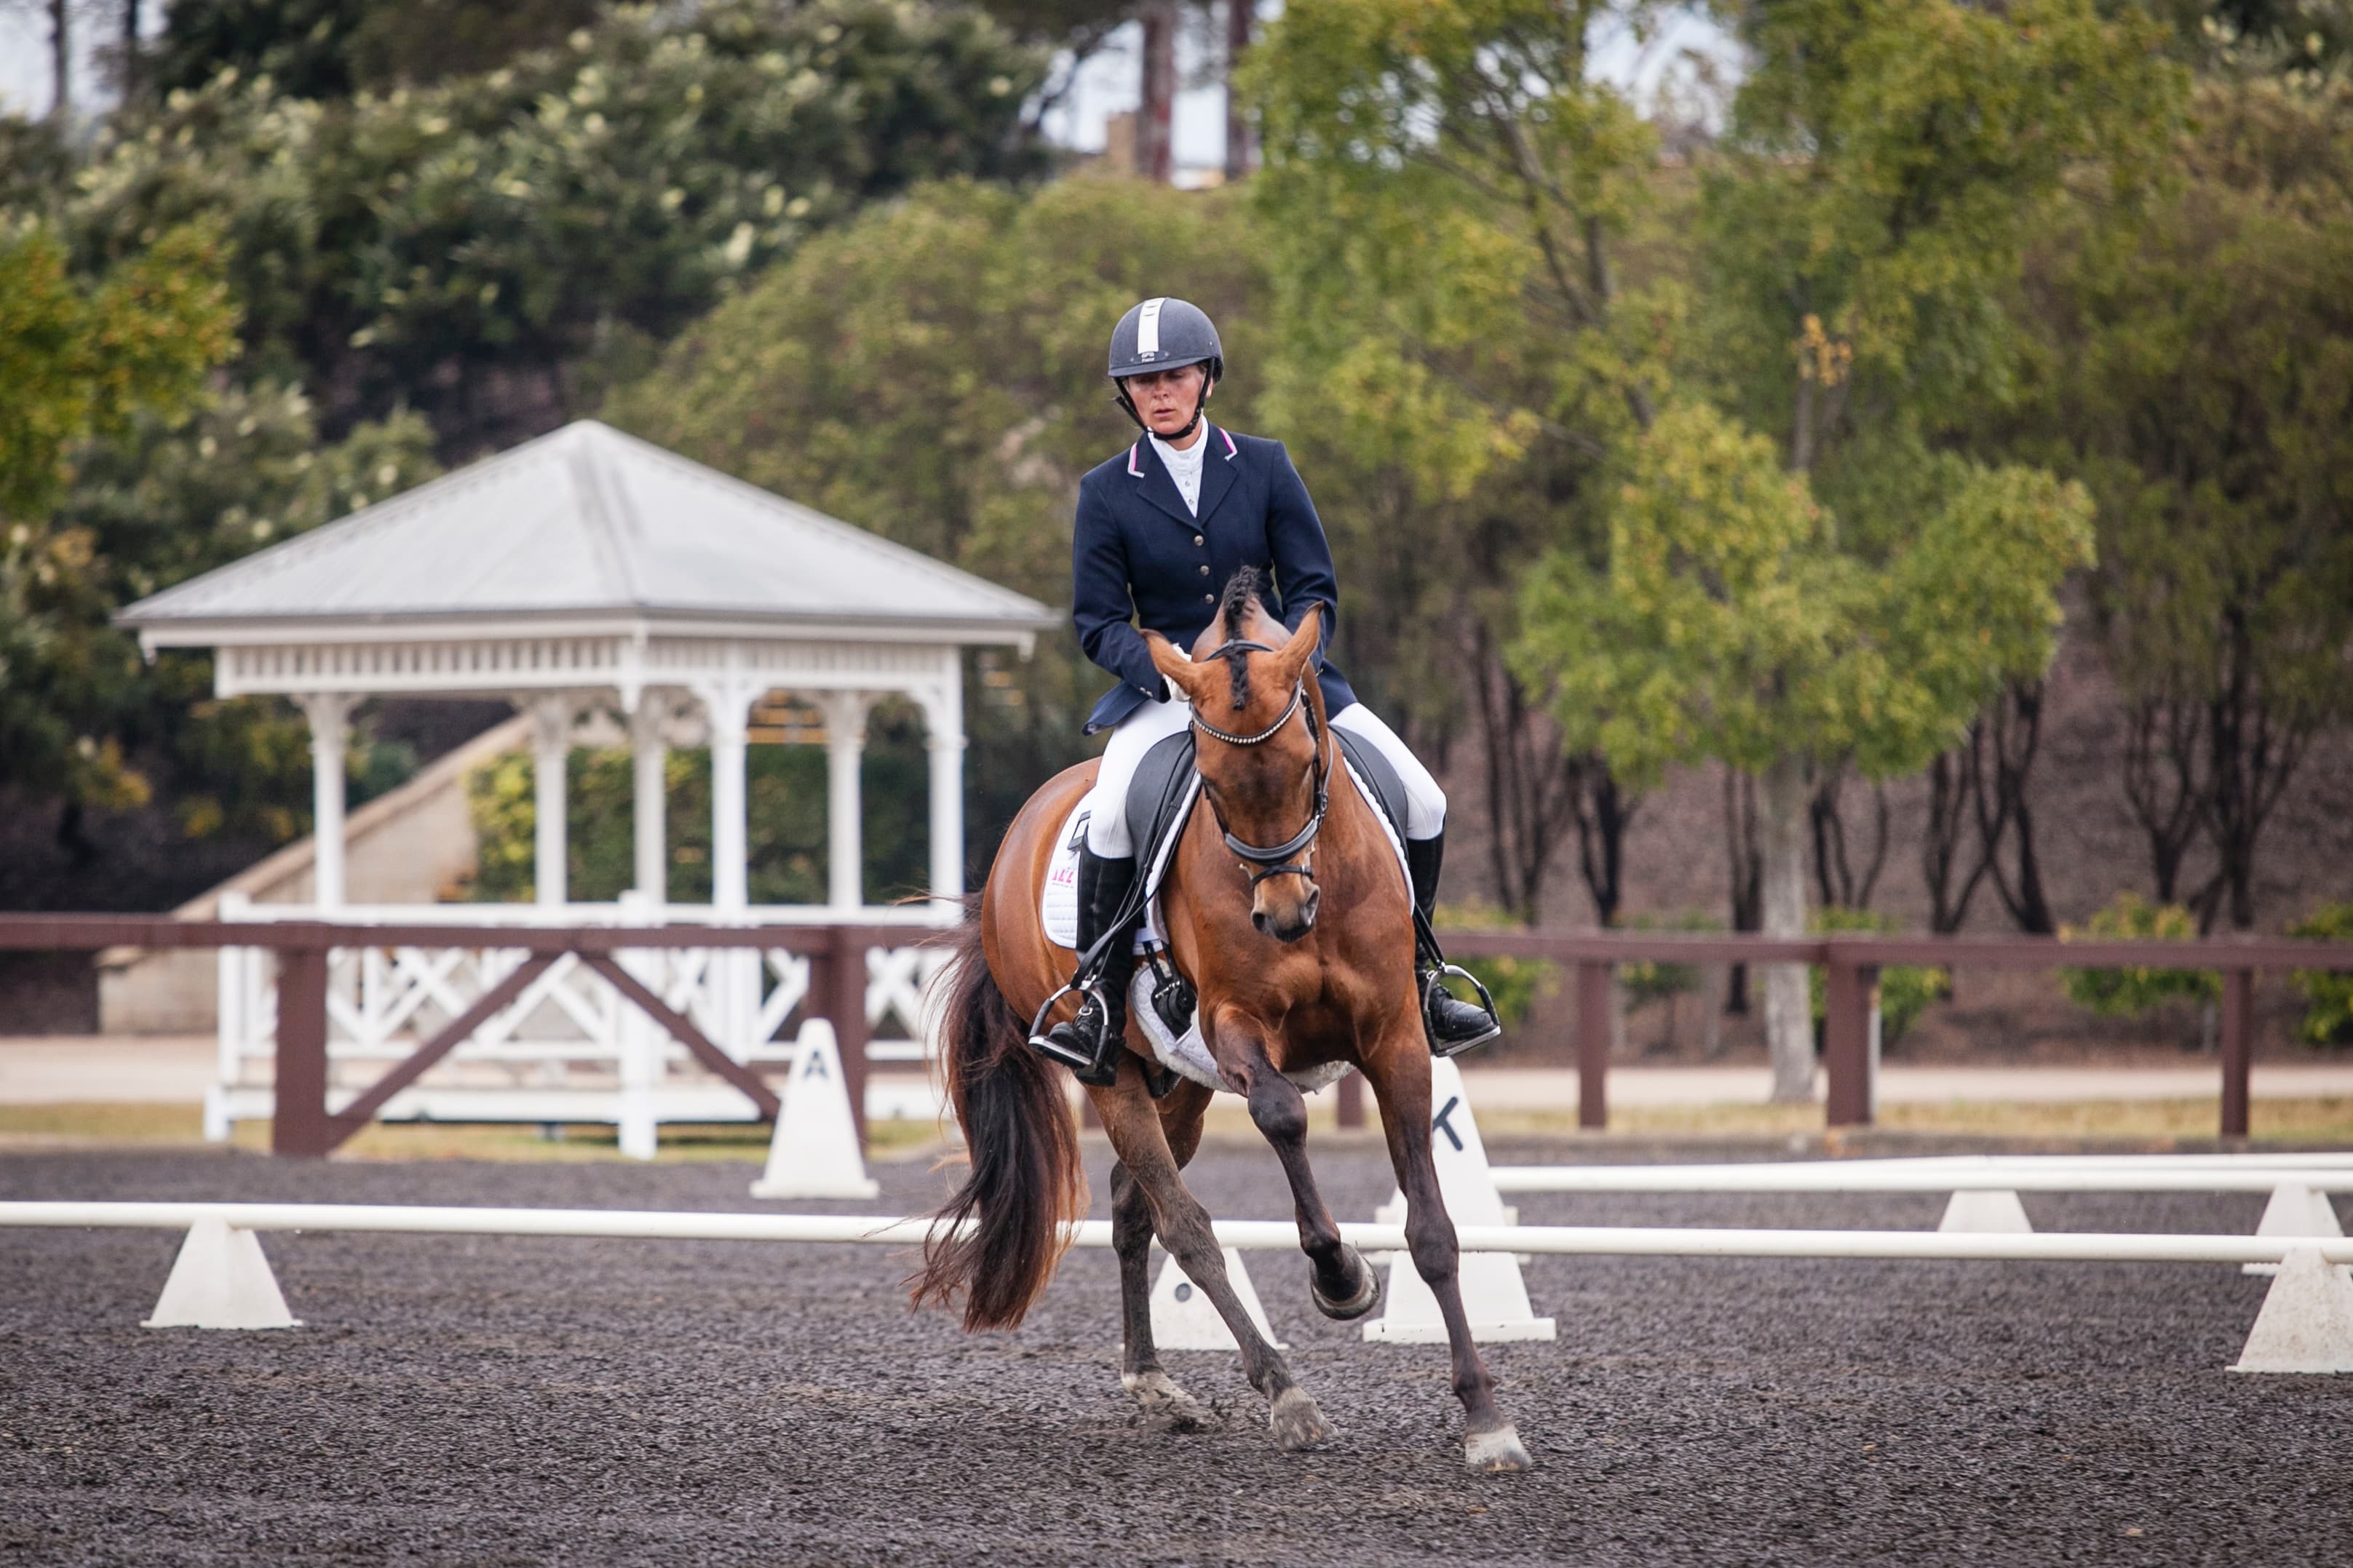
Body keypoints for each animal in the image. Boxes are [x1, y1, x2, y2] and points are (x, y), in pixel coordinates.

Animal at [912, 569, 1531, 1473]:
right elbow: (1279, 1115)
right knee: (1184, 1224)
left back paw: (1153, 1381)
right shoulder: (1237, 1029)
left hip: (1180, 1084)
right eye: (1207, 780)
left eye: (1307, 760)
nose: (1283, 915)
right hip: (1115, 1075)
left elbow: (1432, 1231)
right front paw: (1339, 1278)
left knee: (1132, 1205)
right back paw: (1282, 1390)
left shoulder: (1395, 1041)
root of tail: (1019, 833)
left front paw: (1485, 1418)